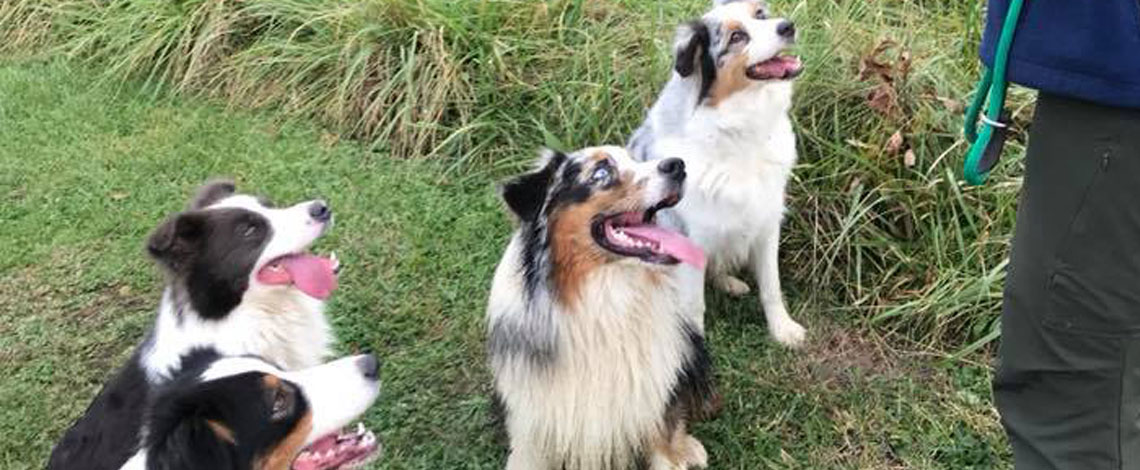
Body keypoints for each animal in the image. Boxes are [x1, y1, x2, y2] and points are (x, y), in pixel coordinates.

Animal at [487, 147, 715, 470]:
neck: (603, 298)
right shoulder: (534, 416)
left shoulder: (654, 393)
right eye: (601, 173)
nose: (678, 165)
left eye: (634, 159)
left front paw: (679, 453)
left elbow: (666, 435)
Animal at [629, 0, 807, 344]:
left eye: (761, 14)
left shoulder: (767, 224)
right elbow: (694, 305)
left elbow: (772, 287)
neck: (739, 134)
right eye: (737, 37)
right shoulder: (690, 239)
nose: (787, 26)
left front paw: (782, 329)